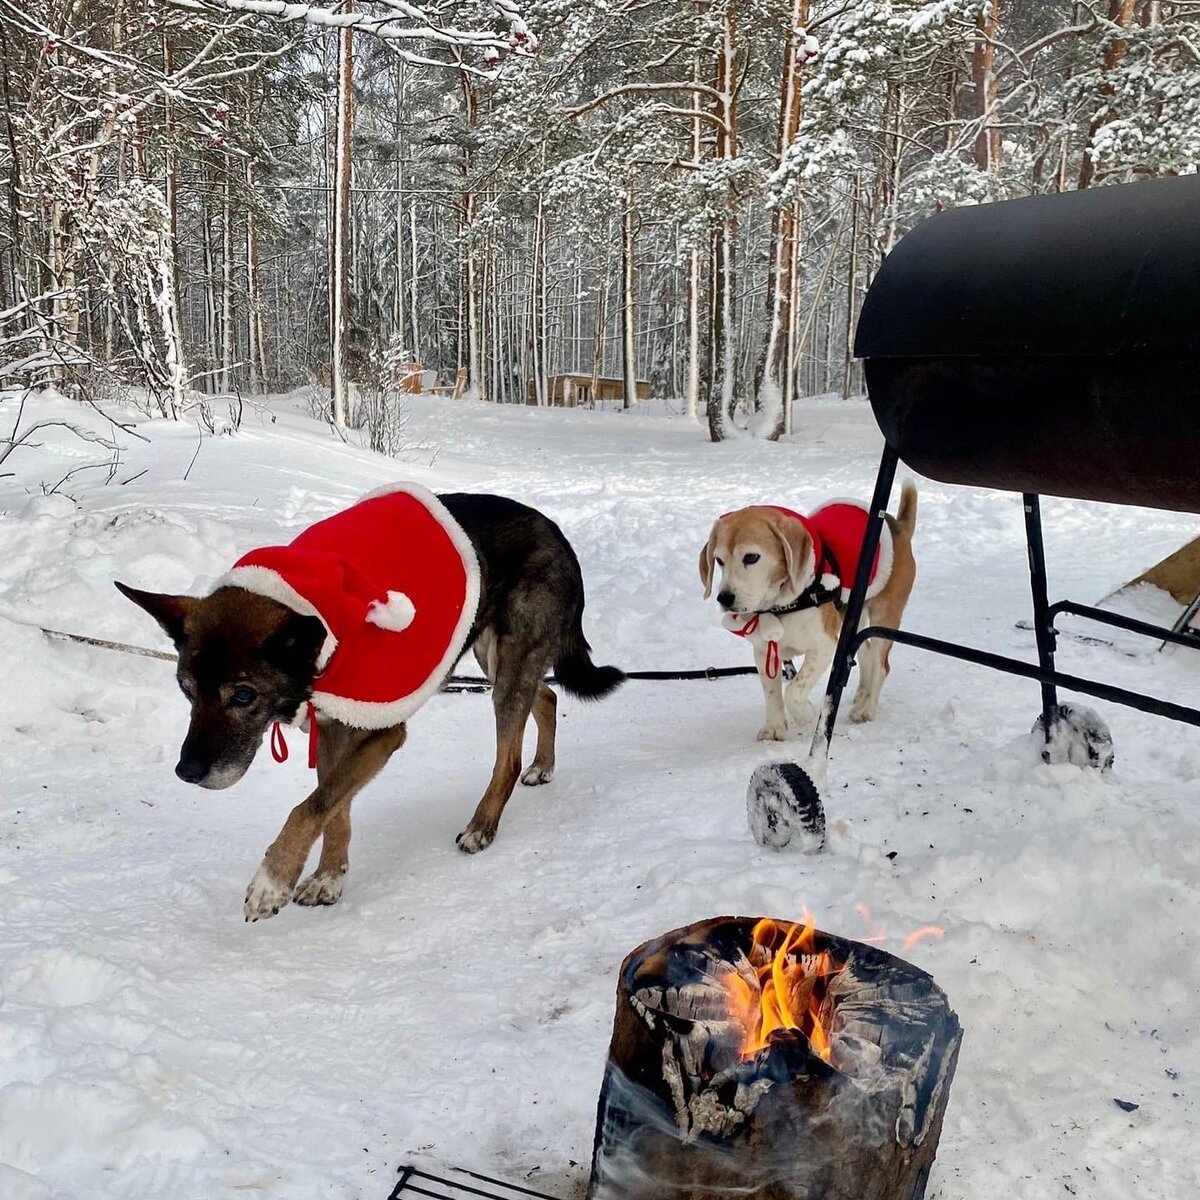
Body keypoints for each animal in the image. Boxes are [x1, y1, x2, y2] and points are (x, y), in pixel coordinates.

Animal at [117, 492, 624, 921]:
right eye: (186, 689)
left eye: (243, 696)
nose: (187, 772)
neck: (323, 647)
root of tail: (555, 530)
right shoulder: (334, 723)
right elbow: (332, 804)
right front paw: (328, 875)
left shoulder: (382, 731)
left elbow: (310, 806)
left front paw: (272, 880)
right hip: (495, 659)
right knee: (548, 695)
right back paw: (543, 764)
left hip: (509, 663)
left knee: (509, 755)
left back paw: (483, 823)